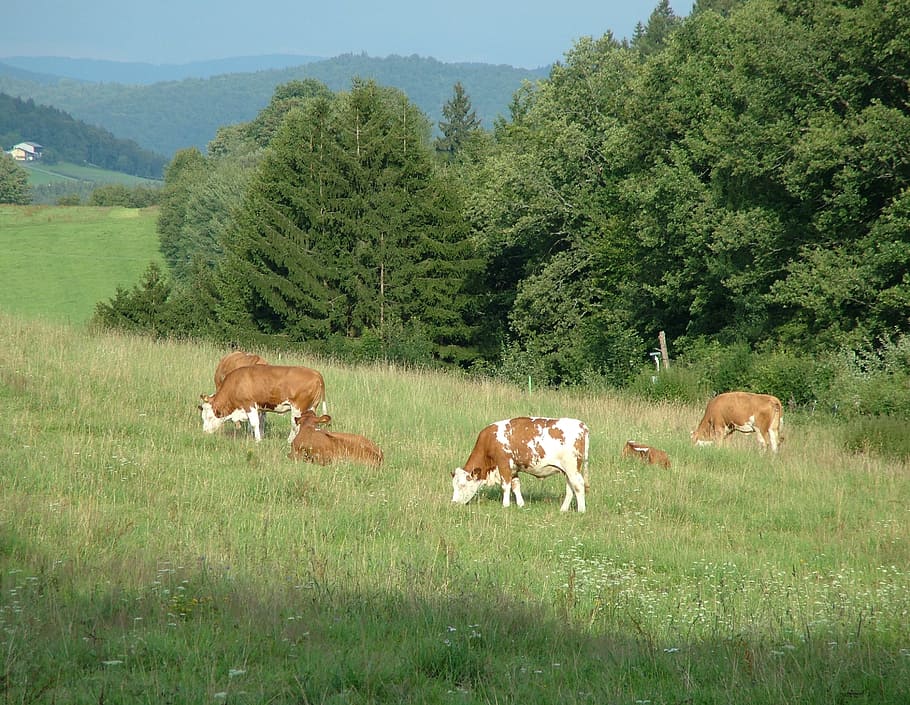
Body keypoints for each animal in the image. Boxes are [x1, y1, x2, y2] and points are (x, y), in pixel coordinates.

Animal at [451, 417, 589, 512]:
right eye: (454, 486)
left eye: (462, 485)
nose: (454, 503)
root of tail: (582, 425)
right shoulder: (514, 469)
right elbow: (516, 485)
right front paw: (521, 504)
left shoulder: (504, 465)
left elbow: (505, 486)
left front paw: (505, 505)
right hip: (567, 471)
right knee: (570, 488)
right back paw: (563, 509)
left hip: (572, 468)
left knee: (578, 485)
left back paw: (581, 510)